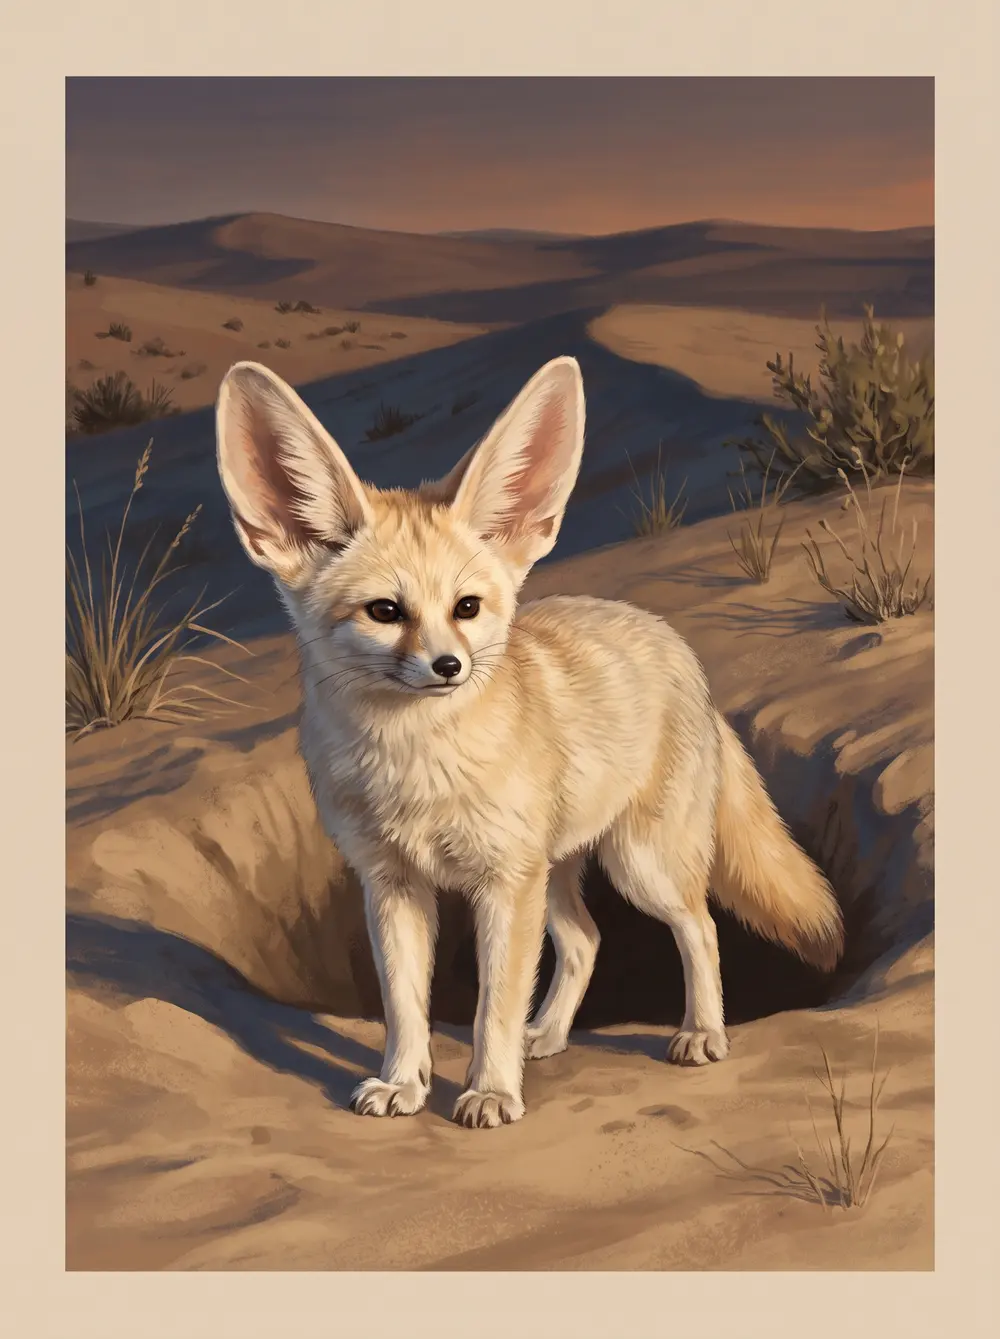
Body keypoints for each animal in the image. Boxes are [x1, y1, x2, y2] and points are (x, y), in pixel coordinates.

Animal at [214, 355, 844, 1130]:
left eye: (467, 608)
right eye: (385, 612)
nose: (447, 667)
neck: (416, 770)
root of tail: (672, 641)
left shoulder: (502, 881)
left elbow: (493, 1004)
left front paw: (489, 1090)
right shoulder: (393, 882)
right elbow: (405, 1002)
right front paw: (403, 1082)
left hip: (637, 866)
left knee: (701, 927)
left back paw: (701, 1031)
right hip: (558, 870)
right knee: (586, 939)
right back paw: (546, 1035)